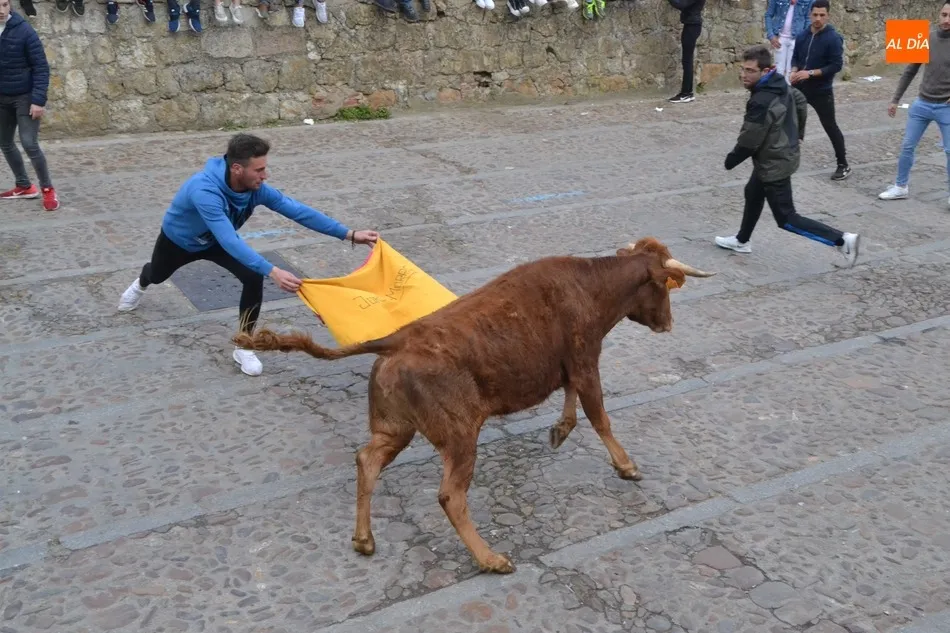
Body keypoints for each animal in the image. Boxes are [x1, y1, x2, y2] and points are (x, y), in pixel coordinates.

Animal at [232, 237, 715, 574]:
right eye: (665, 288)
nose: (668, 323)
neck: (590, 286)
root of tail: (396, 340)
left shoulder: (570, 366)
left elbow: (573, 402)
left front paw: (560, 431)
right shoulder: (585, 360)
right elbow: (599, 416)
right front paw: (626, 465)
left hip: (395, 428)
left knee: (367, 460)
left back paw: (364, 540)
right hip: (461, 435)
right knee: (451, 495)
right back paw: (491, 559)